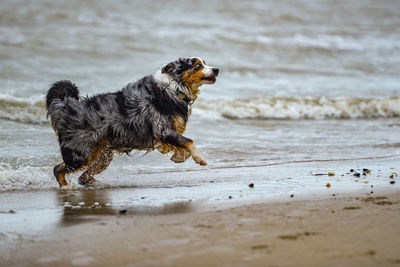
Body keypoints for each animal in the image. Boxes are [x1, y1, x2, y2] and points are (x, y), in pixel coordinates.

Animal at [46, 57, 219, 189]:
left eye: (205, 62)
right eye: (197, 65)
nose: (216, 69)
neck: (174, 88)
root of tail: (66, 107)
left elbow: (182, 146)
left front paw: (178, 156)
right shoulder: (162, 128)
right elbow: (189, 141)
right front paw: (200, 159)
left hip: (103, 154)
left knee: (84, 177)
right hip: (82, 153)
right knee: (58, 169)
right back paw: (66, 187)